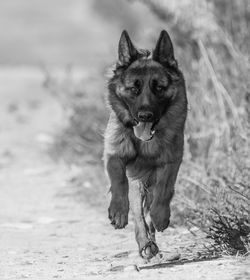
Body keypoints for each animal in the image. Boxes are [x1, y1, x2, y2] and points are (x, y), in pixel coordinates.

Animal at [102, 29, 187, 260]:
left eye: (159, 88)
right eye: (134, 89)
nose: (145, 115)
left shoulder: (171, 161)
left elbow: (165, 189)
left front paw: (160, 215)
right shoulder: (114, 154)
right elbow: (118, 181)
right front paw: (118, 210)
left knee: (150, 208)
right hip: (138, 182)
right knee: (139, 215)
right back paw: (145, 243)